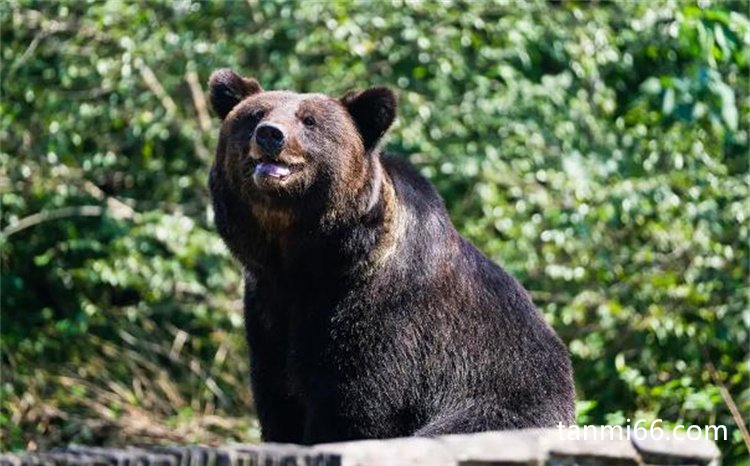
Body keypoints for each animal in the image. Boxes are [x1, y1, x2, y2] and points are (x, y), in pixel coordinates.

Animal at [206, 68, 576, 444]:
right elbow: (280, 402)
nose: (270, 134)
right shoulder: (269, 309)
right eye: (255, 115)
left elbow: (358, 404)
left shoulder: (383, 310)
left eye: (309, 121)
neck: (307, 258)